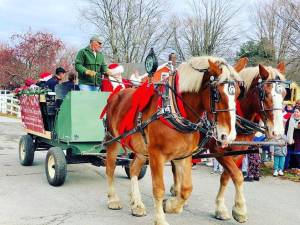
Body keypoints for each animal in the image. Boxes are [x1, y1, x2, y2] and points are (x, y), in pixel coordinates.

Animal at [103, 55, 246, 225]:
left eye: (238, 94)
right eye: (216, 94)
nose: (228, 136)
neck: (173, 109)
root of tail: (117, 93)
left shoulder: (183, 156)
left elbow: (187, 188)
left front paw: (171, 205)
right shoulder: (156, 155)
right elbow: (158, 188)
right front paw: (160, 219)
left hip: (141, 150)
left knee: (133, 169)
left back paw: (137, 204)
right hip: (113, 141)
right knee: (110, 168)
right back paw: (113, 199)